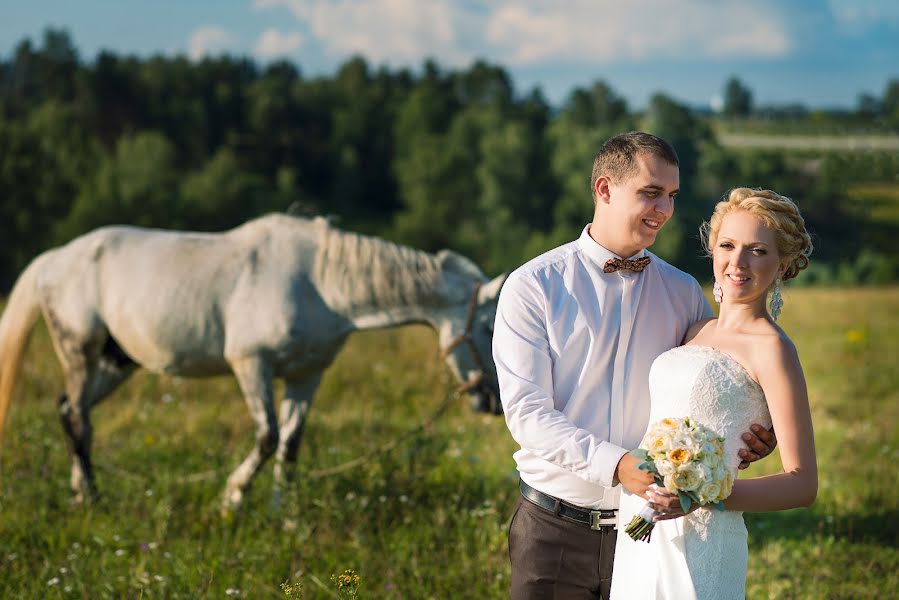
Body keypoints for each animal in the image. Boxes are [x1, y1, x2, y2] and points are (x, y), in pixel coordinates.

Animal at [0, 214, 506, 510]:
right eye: (489, 327)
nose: (494, 401)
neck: (319, 281)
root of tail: (55, 259)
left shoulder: (306, 376)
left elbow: (291, 445)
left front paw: (284, 517)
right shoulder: (251, 364)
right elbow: (267, 438)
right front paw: (232, 500)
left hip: (116, 361)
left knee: (72, 410)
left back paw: (80, 492)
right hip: (80, 352)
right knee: (77, 418)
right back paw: (92, 499)